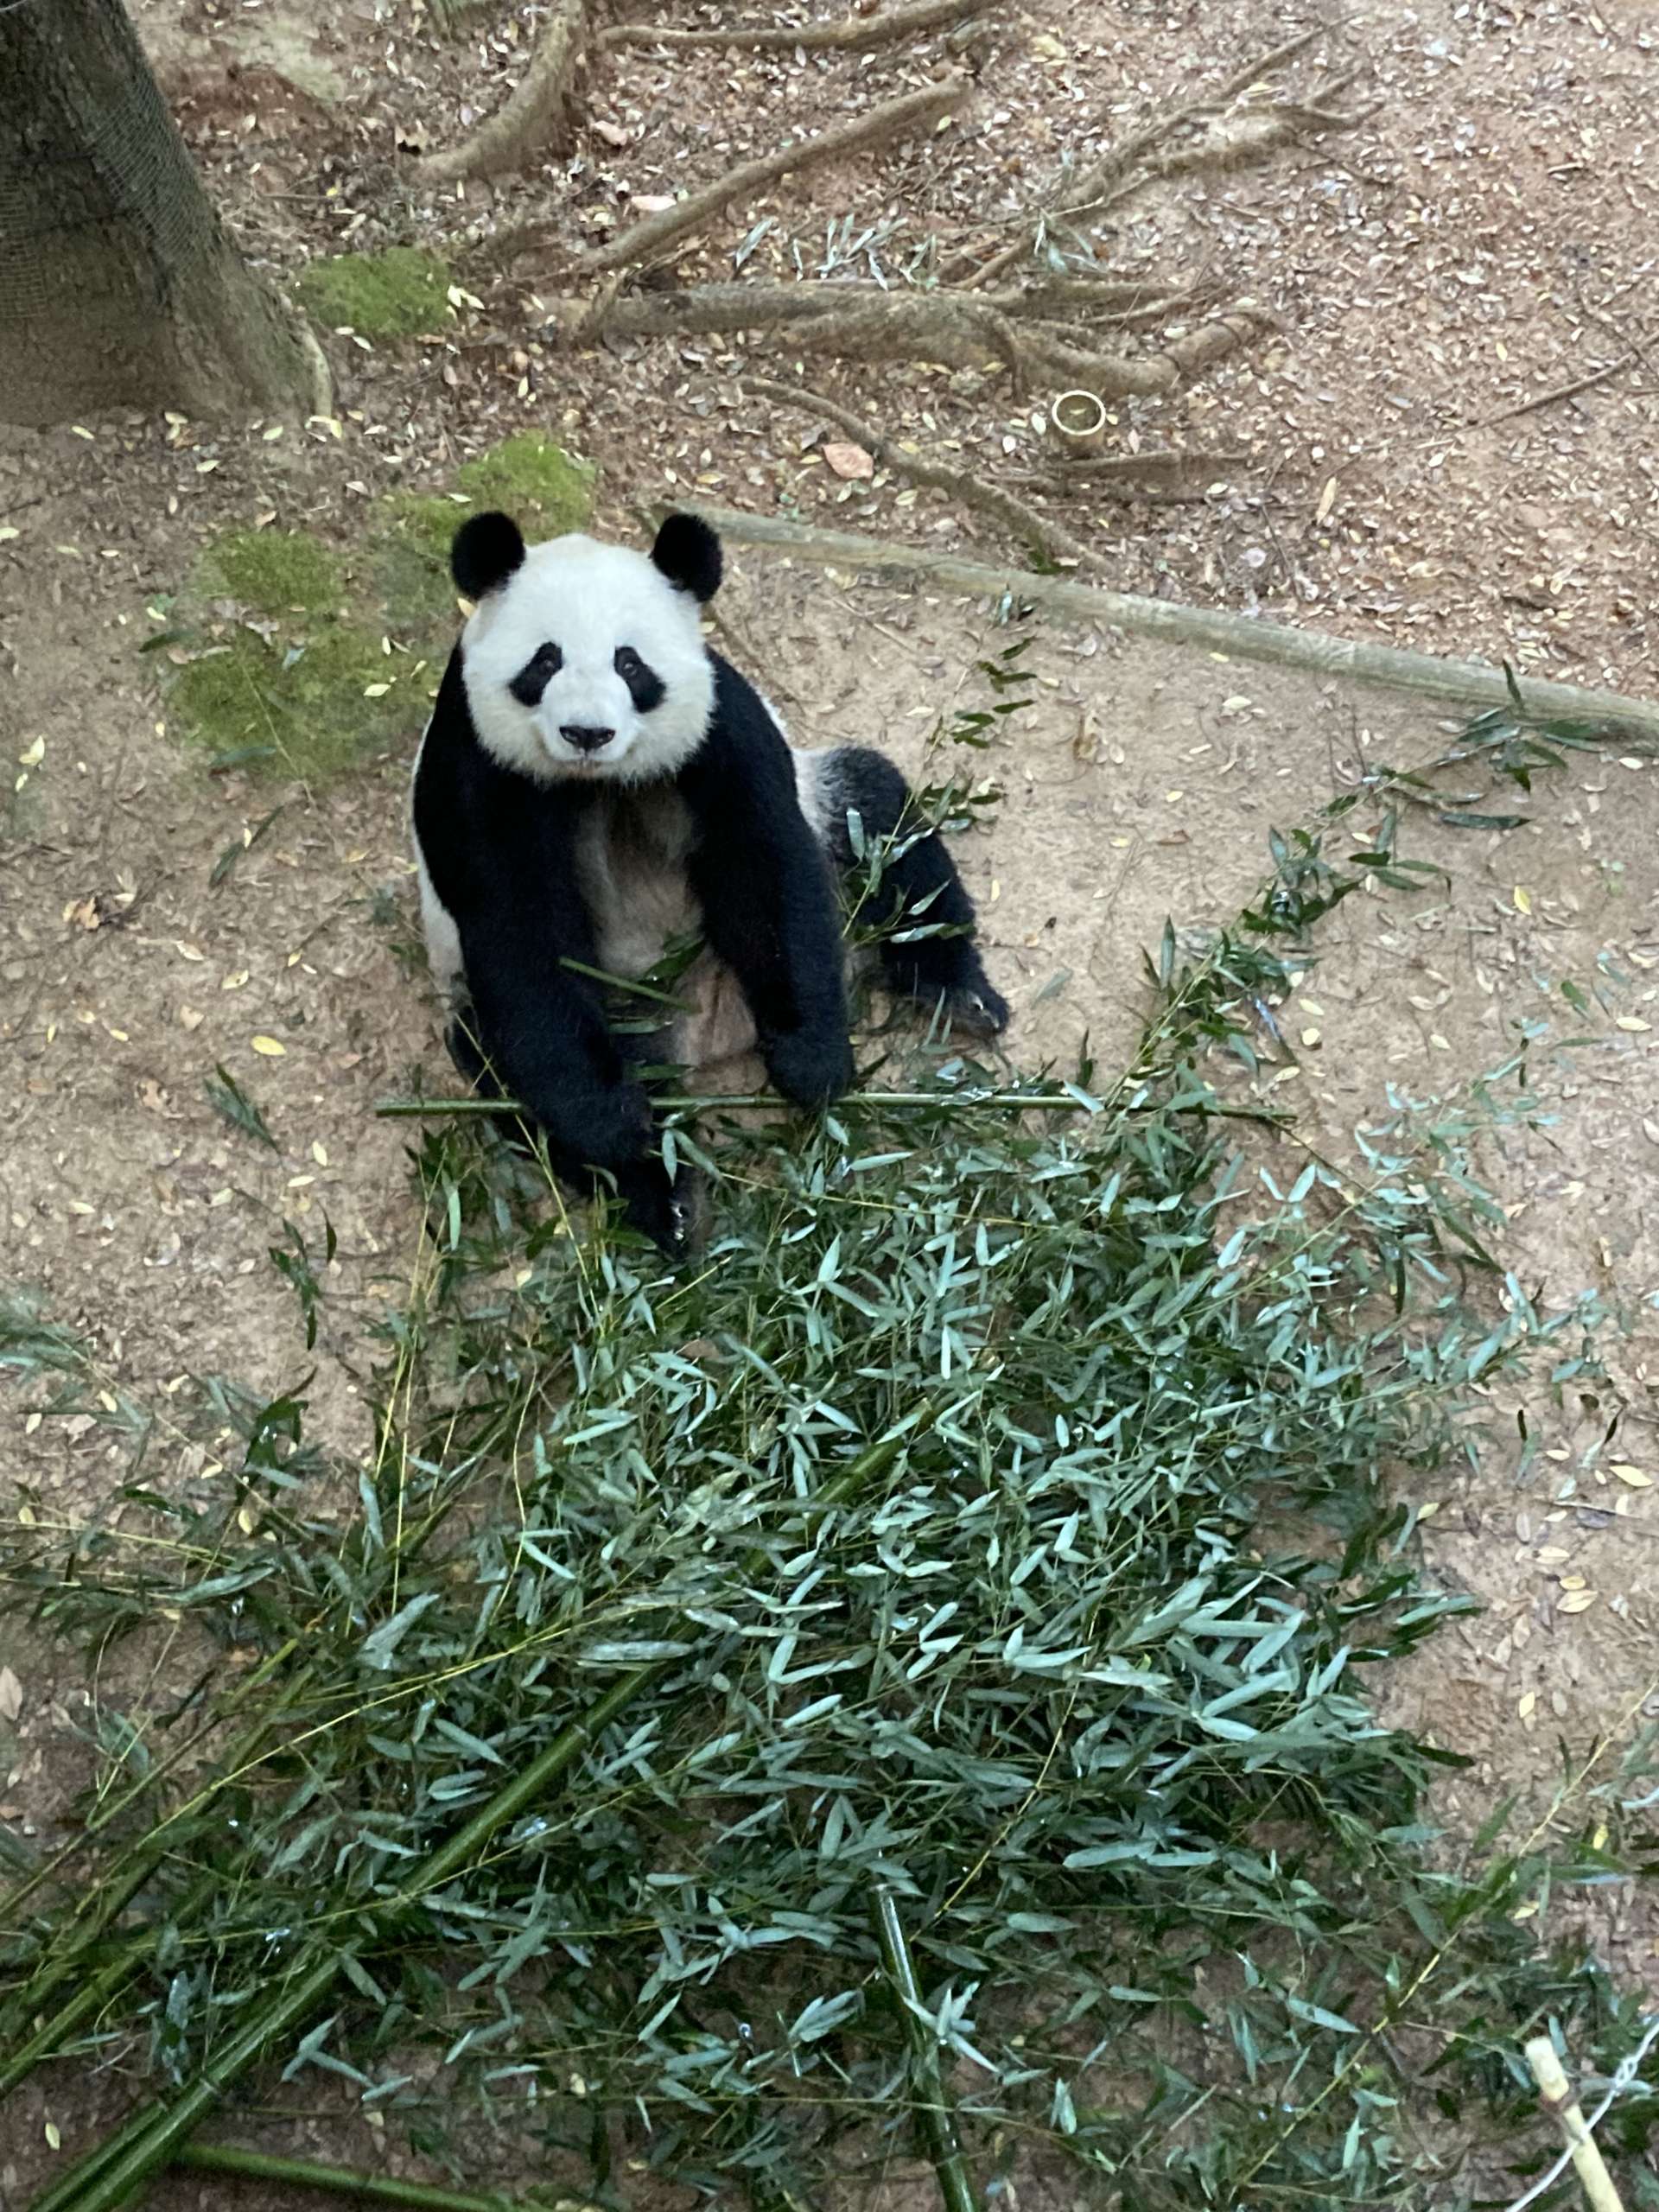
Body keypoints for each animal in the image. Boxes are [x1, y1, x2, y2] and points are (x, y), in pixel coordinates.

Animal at [413, 506, 1013, 1256]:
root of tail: (710, 1032)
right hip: (609, 1013)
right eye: (544, 661)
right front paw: (614, 1125)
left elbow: (766, 867)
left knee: (883, 823)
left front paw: (812, 1063)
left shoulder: (720, 729)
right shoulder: (477, 763)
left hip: (835, 828)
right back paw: (661, 1197)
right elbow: (520, 936)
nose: (587, 732)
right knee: (492, 1058)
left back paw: (959, 993)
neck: (597, 783)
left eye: (630, 662)